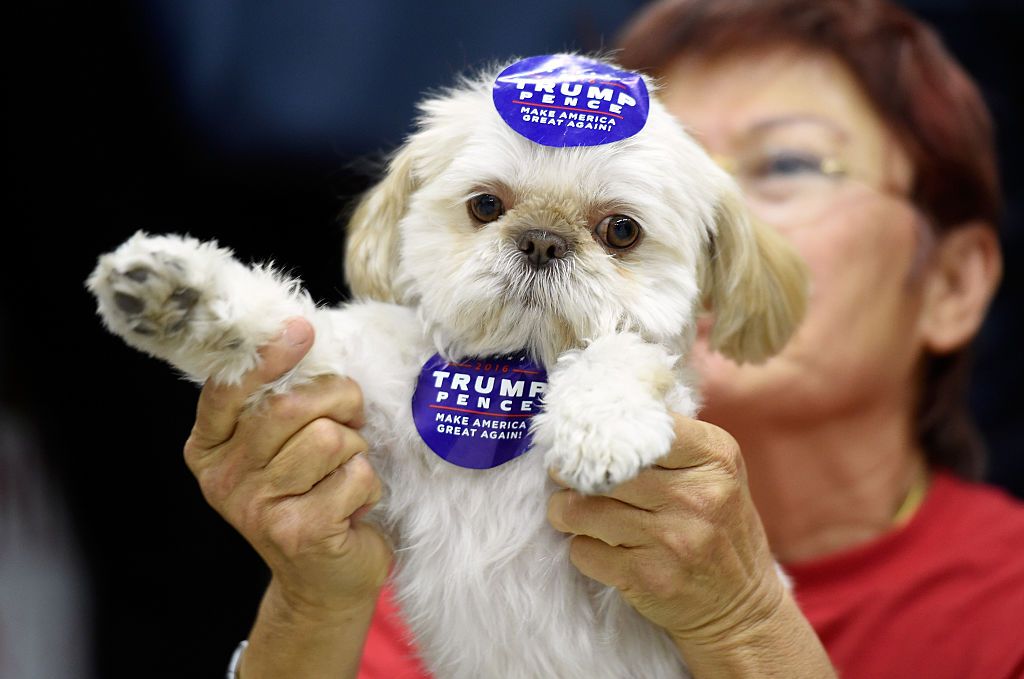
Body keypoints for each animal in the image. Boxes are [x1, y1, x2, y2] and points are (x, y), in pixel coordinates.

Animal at [88, 57, 802, 679]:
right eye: (485, 205)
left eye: (621, 231)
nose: (542, 239)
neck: (513, 378)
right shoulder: (372, 418)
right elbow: (299, 339)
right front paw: (183, 299)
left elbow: (624, 354)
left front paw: (601, 425)